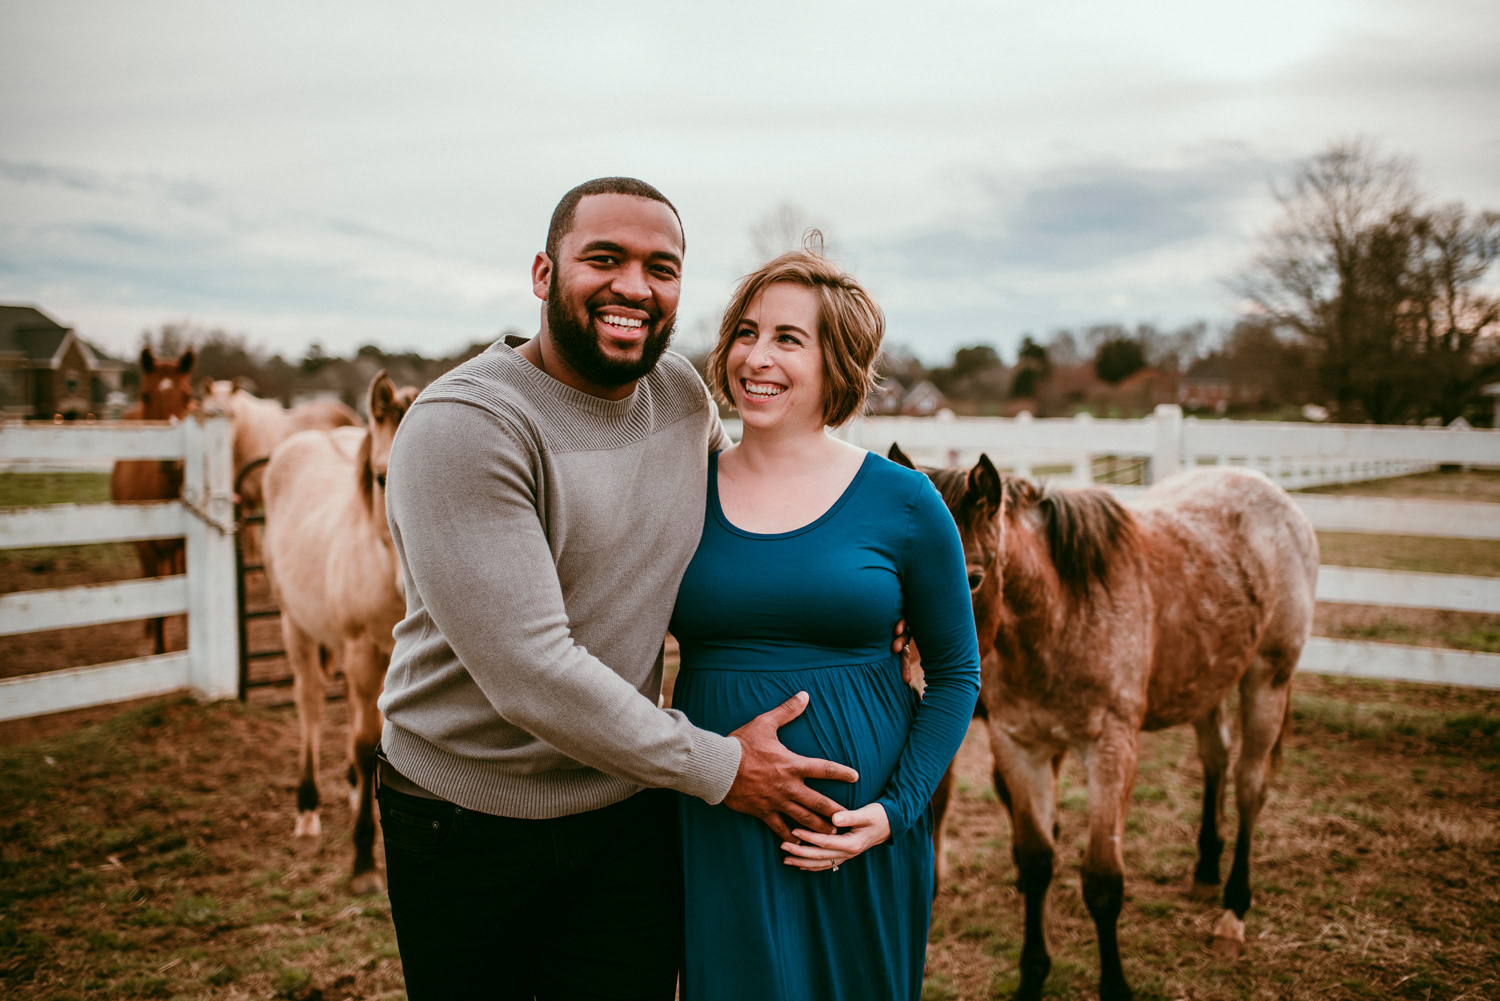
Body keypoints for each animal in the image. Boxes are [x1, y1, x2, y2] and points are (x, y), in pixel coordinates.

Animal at [109, 348, 198, 654]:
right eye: (146, 395)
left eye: (187, 396)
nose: (171, 460)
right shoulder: (147, 547)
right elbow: (155, 595)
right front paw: (161, 648)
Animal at [262, 371, 415, 894]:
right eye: (381, 478)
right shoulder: (362, 651)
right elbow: (367, 742)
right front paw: (364, 860)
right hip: (296, 627)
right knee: (309, 704)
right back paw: (308, 812)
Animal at [891, 445, 1318, 1001]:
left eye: (974, 579)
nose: (918, 683)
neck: (1063, 616)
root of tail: (1275, 497)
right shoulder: (1020, 746)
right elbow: (1036, 860)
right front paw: (1032, 977)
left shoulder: (1111, 751)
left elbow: (1102, 880)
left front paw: (1114, 983)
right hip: (1207, 679)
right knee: (1216, 759)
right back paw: (1205, 868)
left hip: (1268, 677)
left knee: (1250, 785)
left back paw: (1232, 912)